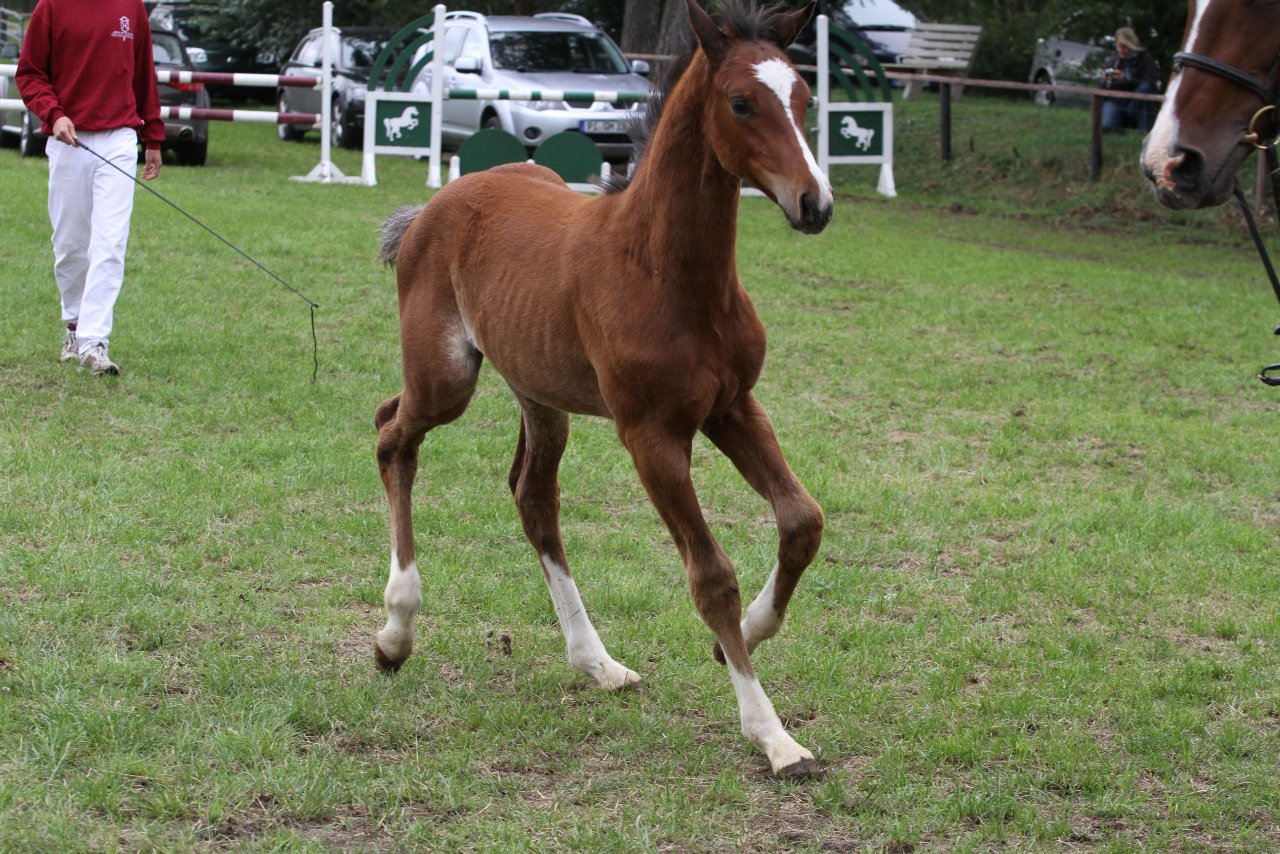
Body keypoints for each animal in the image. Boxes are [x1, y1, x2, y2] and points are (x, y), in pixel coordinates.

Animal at [373, 0, 829, 773]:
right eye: (741, 101)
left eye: (803, 98)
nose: (814, 204)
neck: (669, 274)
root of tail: (438, 202)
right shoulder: (651, 434)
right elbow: (711, 576)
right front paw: (772, 734)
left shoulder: (733, 407)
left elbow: (802, 521)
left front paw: (744, 635)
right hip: (447, 379)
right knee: (391, 436)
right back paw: (395, 633)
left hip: (539, 392)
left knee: (531, 497)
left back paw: (598, 662)